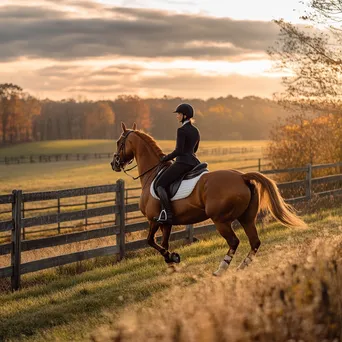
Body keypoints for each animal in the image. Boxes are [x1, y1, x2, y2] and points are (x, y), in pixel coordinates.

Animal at [111, 122, 308, 276]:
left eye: (119, 142)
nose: (114, 164)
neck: (152, 174)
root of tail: (242, 177)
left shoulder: (153, 219)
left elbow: (150, 241)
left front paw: (173, 258)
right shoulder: (166, 222)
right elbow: (164, 243)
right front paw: (172, 264)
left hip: (220, 220)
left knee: (234, 242)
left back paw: (221, 270)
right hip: (246, 218)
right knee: (255, 242)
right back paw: (242, 267)